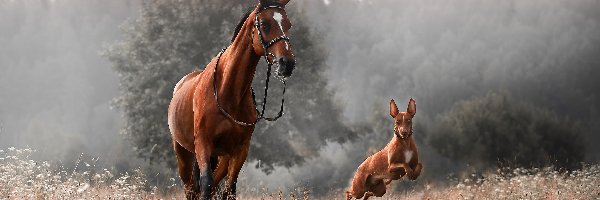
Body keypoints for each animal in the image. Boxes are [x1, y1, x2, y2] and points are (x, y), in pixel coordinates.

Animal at [166, 0, 296, 199]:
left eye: (288, 25)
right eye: (265, 24)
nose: (287, 63)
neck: (227, 91)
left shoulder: (240, 149)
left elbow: (229, 189)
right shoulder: (203, 143)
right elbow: (206, 184)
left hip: (222, 156)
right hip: (183, 152)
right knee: (191, 188)